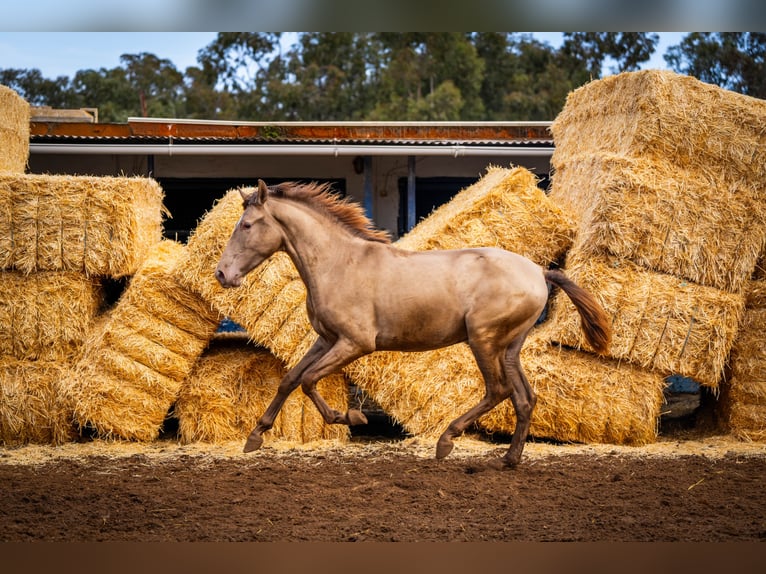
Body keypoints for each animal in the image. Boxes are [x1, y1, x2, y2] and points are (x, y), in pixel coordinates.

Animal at [216, 181, 612, 472]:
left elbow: (310, 380)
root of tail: (538, 271)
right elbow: (290, 379)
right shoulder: (326, 339)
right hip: (509, 347)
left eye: (246, 225)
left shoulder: (355, 343)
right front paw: (255, 436)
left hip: (483, 341)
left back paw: (447, 441)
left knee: (497, 390)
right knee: (524, 398)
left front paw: (350, 416)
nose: (222, 274)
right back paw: (509, 460)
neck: (339, 263)